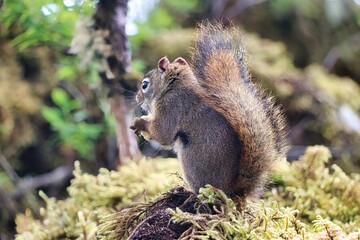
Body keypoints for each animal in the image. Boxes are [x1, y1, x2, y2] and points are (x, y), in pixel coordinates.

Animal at [129, 23, 286, 199]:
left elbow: (162, 133)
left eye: (144, 85)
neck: (175, 86)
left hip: (192, 162)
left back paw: (186, 191)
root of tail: (233, 190)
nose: (137, 99)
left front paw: (140, 123)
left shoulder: (172, 106)